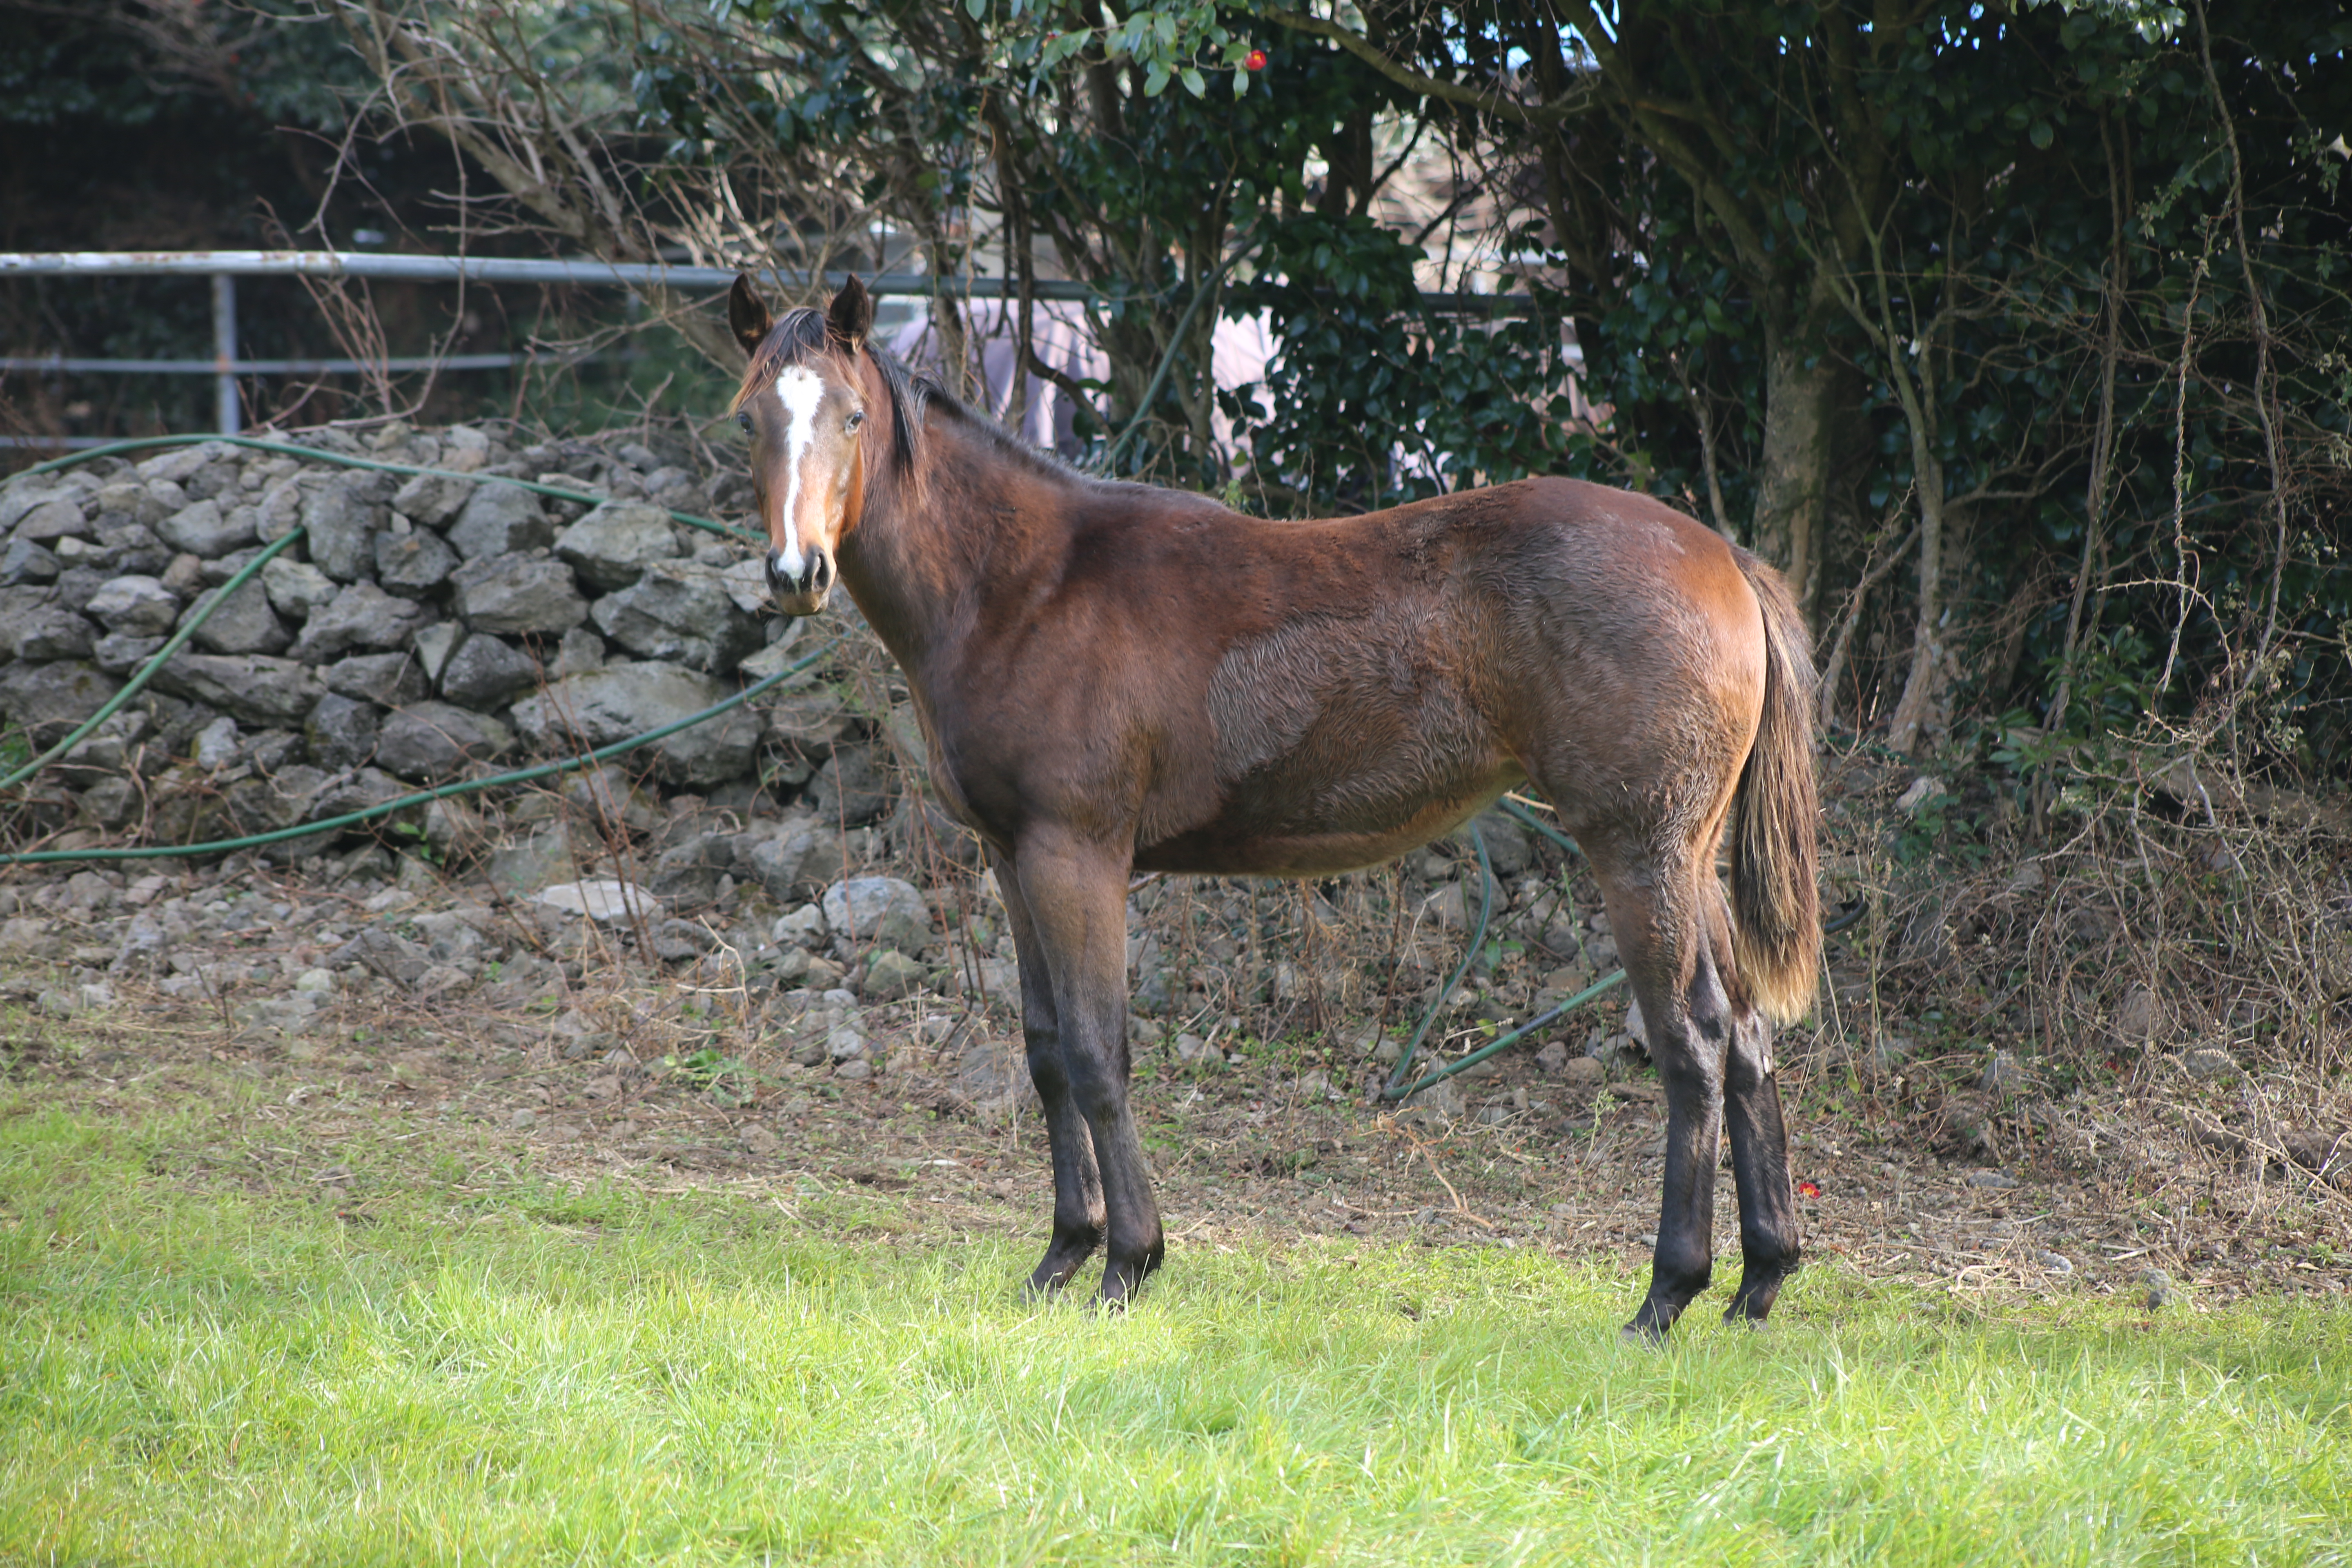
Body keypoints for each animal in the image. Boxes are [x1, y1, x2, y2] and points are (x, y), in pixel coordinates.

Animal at [724, 276, 1825, 1345]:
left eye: (853, 415)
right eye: (750, 420)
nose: (795, 574)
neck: (1022, 586)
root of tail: (1723, 559)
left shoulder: (1076, 855)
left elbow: (1096, 1052)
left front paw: (1127, 1263)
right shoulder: (1011, 856)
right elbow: (1043, 1052)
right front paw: (1059, 1259)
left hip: (1636, 852)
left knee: (1691, 1043)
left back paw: (1665, 1294)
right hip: (1689, 855)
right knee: (1747, 1034)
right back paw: (1756, 1283)